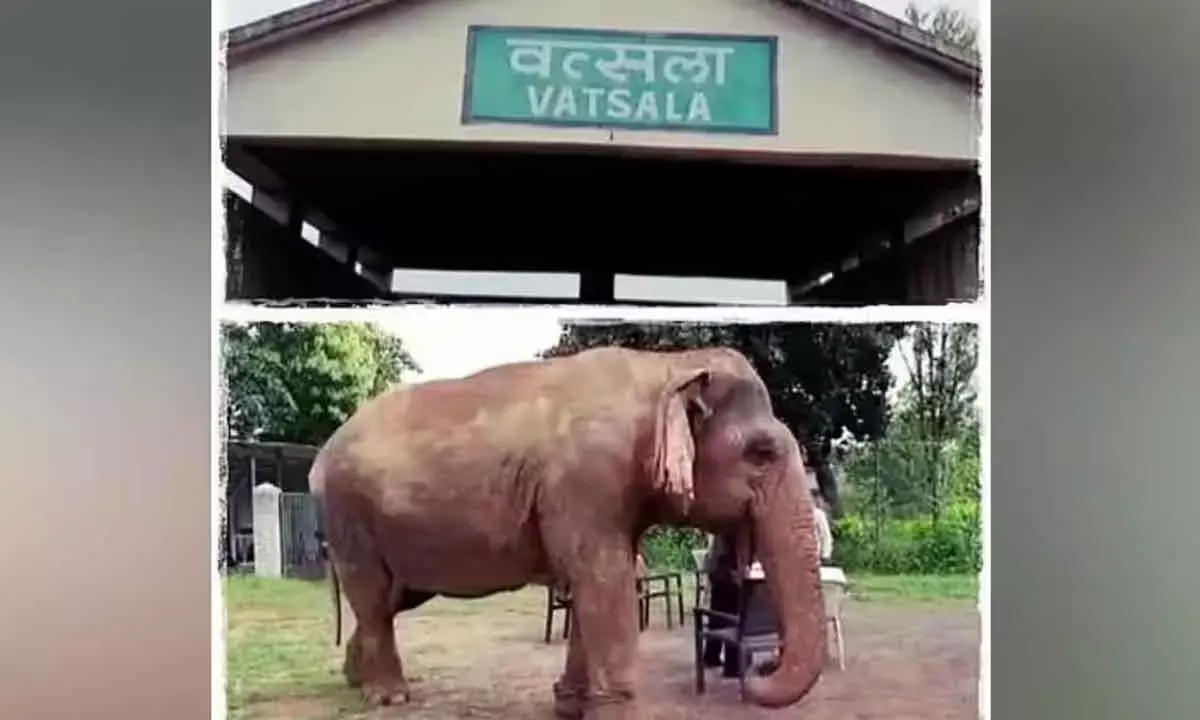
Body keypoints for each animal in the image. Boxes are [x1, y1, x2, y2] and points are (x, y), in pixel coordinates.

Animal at [308, 345, 827, 719]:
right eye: (761, 454)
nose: (761, 664)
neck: (667, 365)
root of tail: (322, 454)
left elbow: (592, 586)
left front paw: (570, 706)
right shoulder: (588, 480)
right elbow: (604, 580)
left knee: (392, 598)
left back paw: (355, 680)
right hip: (350, 514)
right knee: (373, 596)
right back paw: (389, 698)